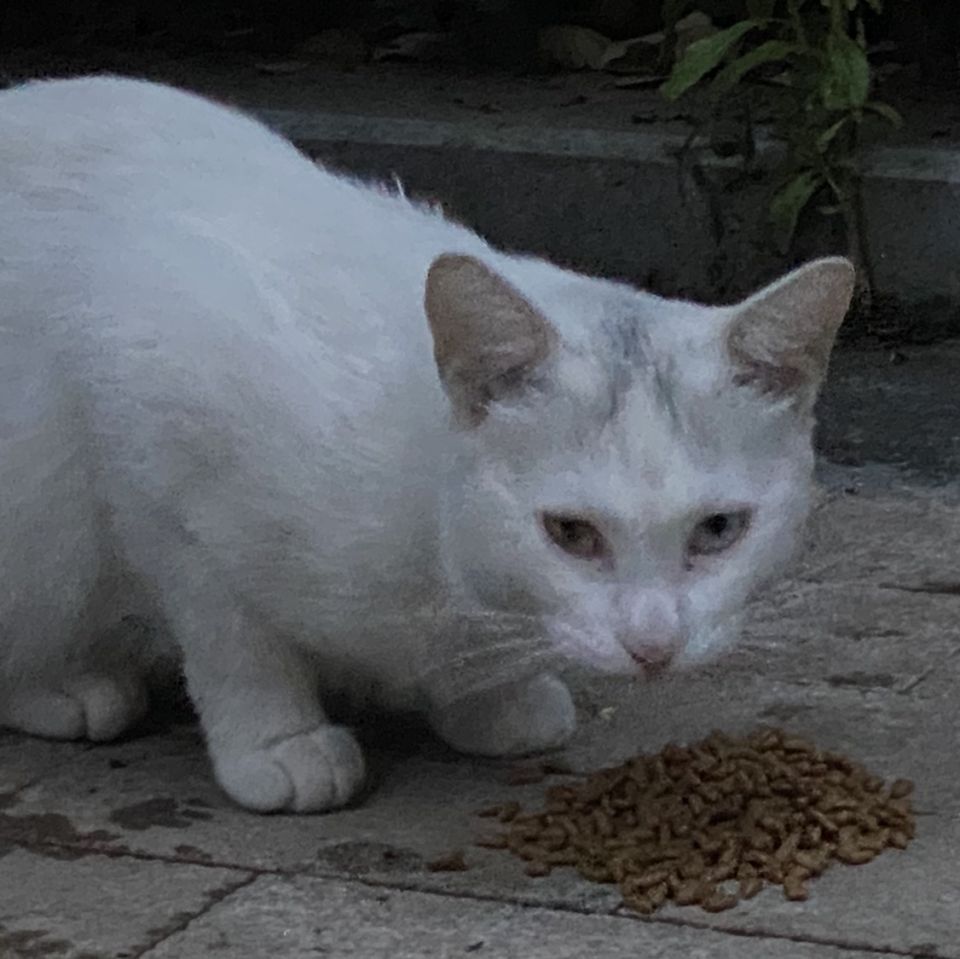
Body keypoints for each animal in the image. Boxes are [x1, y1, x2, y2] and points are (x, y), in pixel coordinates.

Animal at [0, 75, 853, 813]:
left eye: (719, 529)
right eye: (570, 532)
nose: (654, 645)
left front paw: (493, 700)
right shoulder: (152, 447)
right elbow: (232, 637)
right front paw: (276, 739)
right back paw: (67, 684)